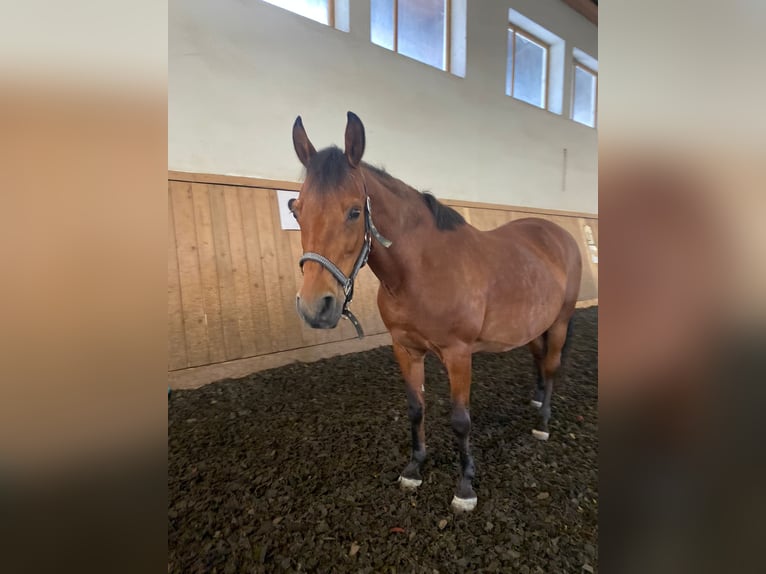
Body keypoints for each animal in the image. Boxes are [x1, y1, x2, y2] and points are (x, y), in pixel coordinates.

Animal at [288, 112, 584, 512]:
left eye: (354, 211)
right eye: (297, 210)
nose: (315, 306)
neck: (421, 269)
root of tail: (559, 233)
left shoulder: (459, 354)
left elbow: (461, 420)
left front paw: (465, 487)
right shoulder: (406, 348)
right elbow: (416, 408)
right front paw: (414, 468)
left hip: (561, 321)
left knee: (551, 367)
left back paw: (543, 422)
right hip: (536, 324)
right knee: (538, 359)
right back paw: (536, 398)